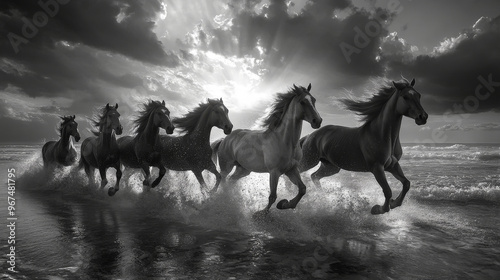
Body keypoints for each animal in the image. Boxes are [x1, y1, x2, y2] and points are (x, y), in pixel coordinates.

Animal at [210, 83, 320, 214]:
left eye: (314, 100)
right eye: (303, 102)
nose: (318, 121)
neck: (284, 141)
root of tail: (224, 139)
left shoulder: (292, 169)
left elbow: (302, 189)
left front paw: (285, 204)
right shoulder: (274, 172)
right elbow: (272, 196)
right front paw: (261, 213)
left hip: (243, 169)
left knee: (231, 180)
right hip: (226, 166)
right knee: (221, 179)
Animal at [296, 77, 430, 215]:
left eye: (418, 95)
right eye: (405, 97)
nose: (423, 117)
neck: (381, 135)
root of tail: (310, 136)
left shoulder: (392, 165)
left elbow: (406, 184)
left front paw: (394, 203)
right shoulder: (377, 168)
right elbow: (387, 191)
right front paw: (378, 209)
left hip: (331, 167)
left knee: (314, 176)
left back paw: (324, 198)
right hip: (309, 160)